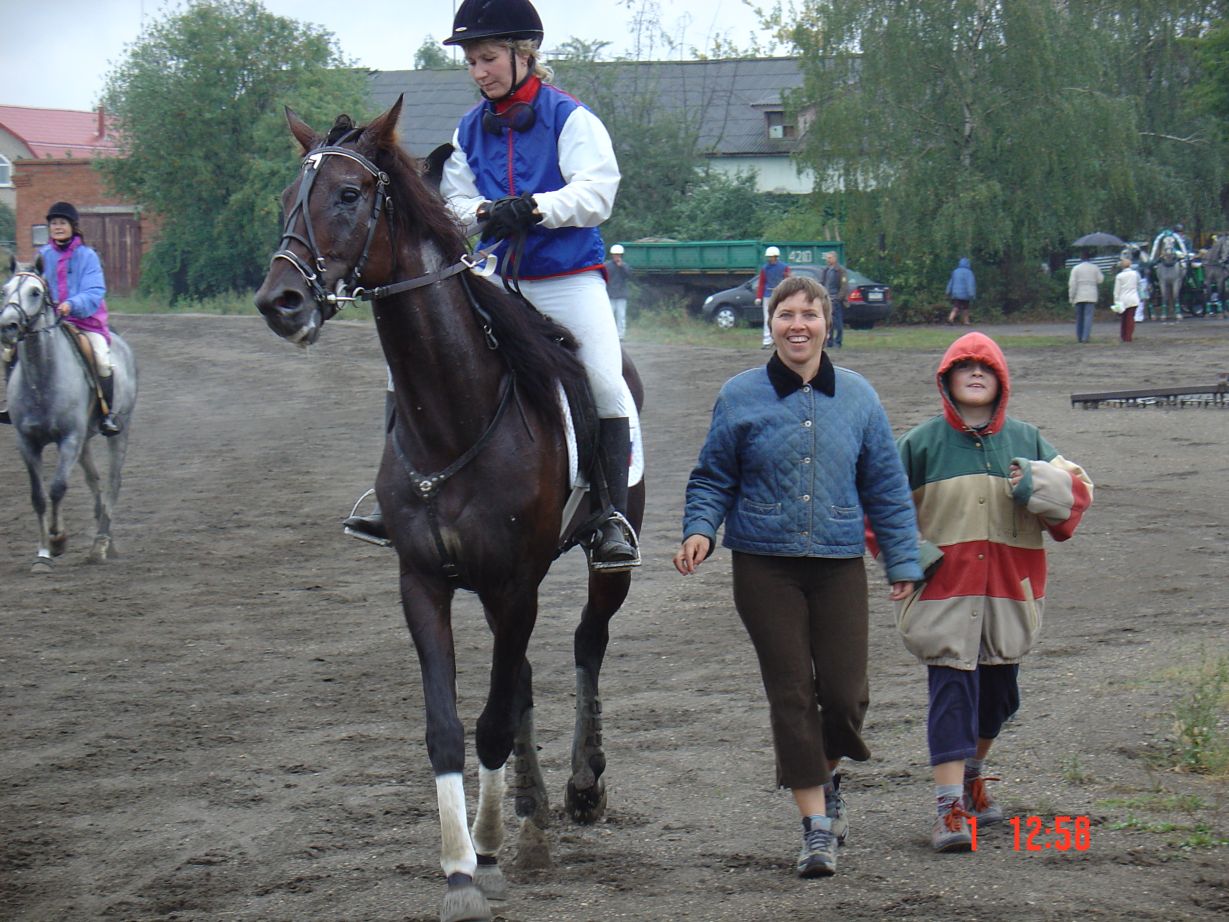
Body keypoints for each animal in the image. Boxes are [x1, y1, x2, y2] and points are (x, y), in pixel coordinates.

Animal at [0, 272, 137, 570]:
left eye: (35, 292)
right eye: (4, 290)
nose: (8, 325)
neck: (42, 379)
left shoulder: (69, 440)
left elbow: (57, 488)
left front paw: (58, 540)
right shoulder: (27, 443)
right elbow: (38, 496)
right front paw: (42, 554)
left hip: (118, 432)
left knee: (113, 482)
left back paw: (100, 544)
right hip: (84, 442)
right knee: (94, 481)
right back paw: (107, 542)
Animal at [253, 98, 644, 922]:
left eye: (348, 195)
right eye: (286, 198)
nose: (281, 302)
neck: (455, 416)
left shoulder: (512, 584)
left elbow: (493, 720)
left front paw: (487, 856)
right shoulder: (424, 584)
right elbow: (447, 725)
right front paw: (461, 868)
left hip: (599, 569)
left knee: (586, 644)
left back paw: (580, 788)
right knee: (522, 675)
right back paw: (531, 812)